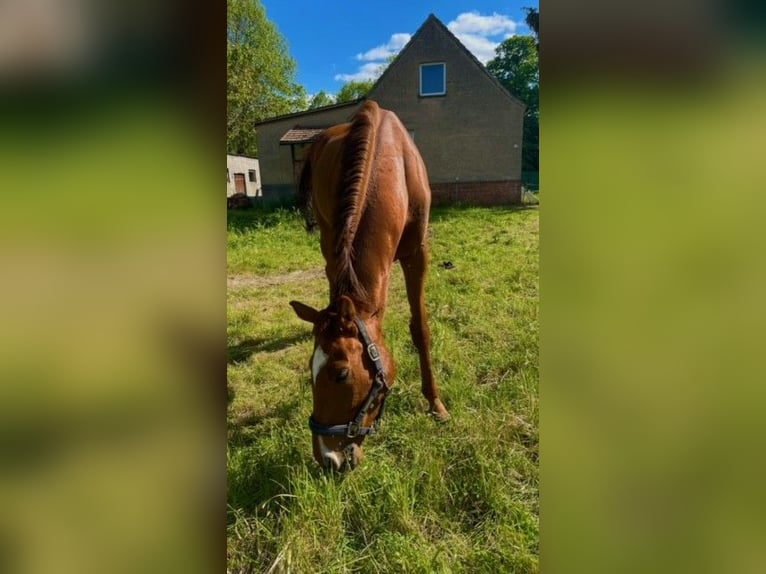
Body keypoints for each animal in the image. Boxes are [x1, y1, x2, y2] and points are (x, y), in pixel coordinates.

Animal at [292, 100, 450, 472]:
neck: (391, 162)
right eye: (308, 370)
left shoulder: (417, 253)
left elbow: (420, 328)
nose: (328, 459)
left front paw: (435, 404)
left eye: (340, 374)